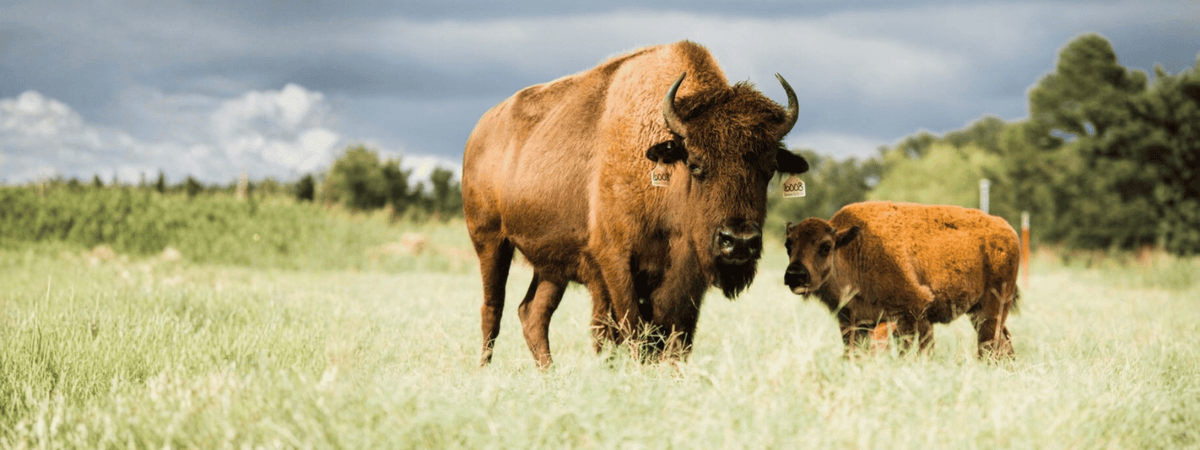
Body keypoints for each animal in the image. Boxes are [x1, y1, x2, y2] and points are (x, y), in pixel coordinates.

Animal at [463, 41, 810, 367]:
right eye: (696, 164)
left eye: (769, 170)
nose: (738, 242)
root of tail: (480, 130)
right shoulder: (616, 264)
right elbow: (630, 334)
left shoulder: (687, 279)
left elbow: (676, 343)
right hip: (490, 241)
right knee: (492, 310)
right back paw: (485, 371)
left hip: (551, 266)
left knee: (532, 312)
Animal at [783, 201, 1020, 359]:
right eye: (788, 245)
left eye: (826, 246)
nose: (795, 275)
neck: (853, 249)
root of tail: (1007, 229)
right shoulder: (853, 322)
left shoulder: (913, 312)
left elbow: (916, 350)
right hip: (978, 311)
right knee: (1003, 342)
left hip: (993, 308)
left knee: (989, 344)